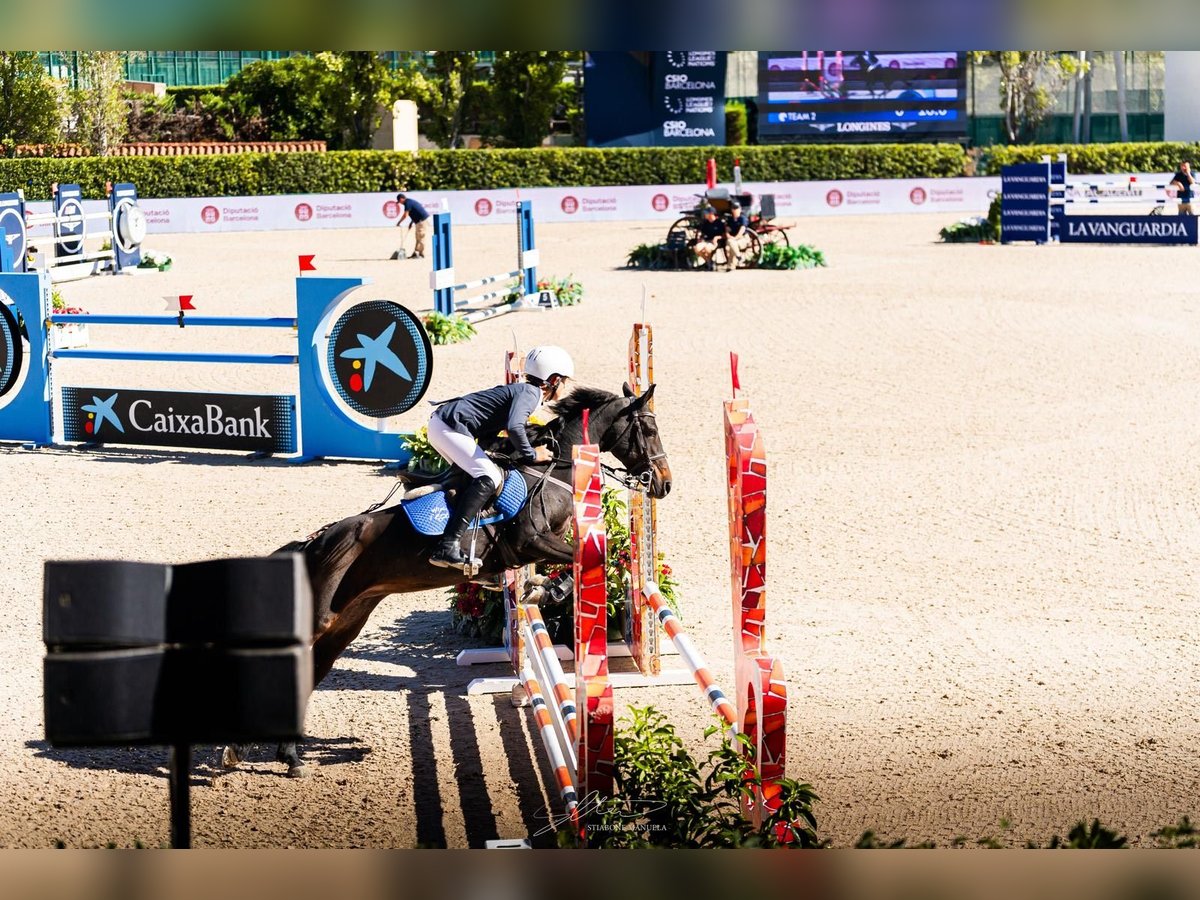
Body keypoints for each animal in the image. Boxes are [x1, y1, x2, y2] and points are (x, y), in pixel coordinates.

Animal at [220, 381, 672, 777]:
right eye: (648, 430)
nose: (664, 484)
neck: (551, 471)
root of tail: (313, 544)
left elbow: (581, 561)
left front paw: (538, 589)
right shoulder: (531, 540)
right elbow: (587, 558)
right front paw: (544, 590)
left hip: (346, 621)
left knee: (310, 671)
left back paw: (288, 757)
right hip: (318, 616)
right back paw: (240, 749)